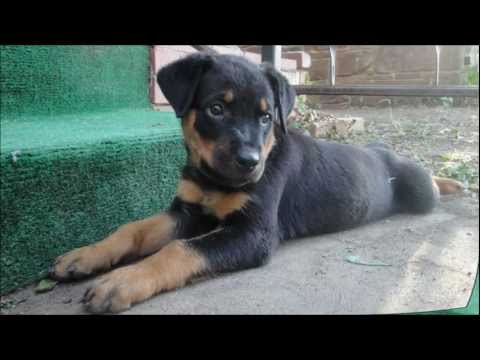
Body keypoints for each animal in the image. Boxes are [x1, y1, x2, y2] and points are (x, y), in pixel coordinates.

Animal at [48, 52, 462, 312]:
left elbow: (178, 250)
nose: (249, 163)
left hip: (419, 192)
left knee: (429, 182)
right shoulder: (187, 209)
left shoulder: (255, 232)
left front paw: (122, 282)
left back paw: (450, 184)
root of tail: (382, 152)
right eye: (216, 109)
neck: (213, 179)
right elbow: (132, 229)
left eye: (266, 117)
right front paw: (84, 256)